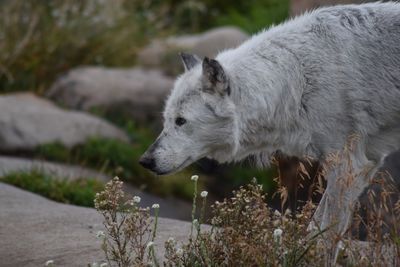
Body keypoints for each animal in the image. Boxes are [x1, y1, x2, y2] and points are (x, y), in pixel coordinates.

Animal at [140, 0, 400, 258]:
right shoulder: (365, 164)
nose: (145, 161)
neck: (296, 79)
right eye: (166, 120)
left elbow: (327, 235)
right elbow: (316, 227)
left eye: (181, 121)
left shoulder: (347, 166)